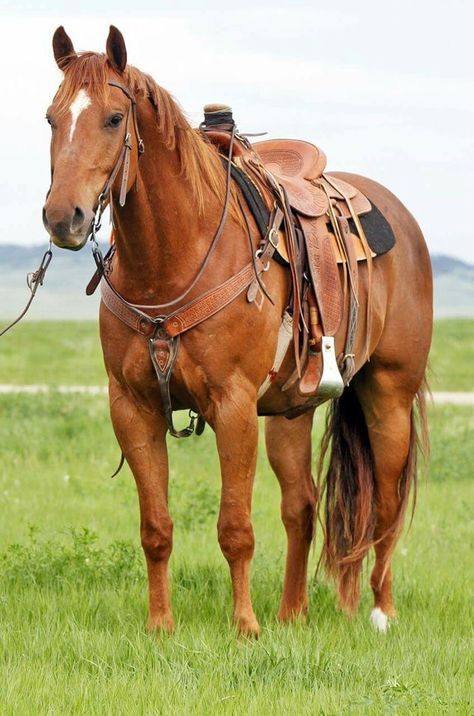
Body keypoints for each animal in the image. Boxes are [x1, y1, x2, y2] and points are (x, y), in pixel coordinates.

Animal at [44, 25, 434, 636]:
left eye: (113, 118)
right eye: (51, 119)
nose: (64, 218)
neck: (174, 258)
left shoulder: (232, 405)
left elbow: (235, 528)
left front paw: (245, 627)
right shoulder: (131, 406)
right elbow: (156, 527)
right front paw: (161, 626)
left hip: (388, 393)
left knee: (386, 505)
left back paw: (378, 612)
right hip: (292, 412)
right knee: (303, 505)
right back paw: (295, 613)